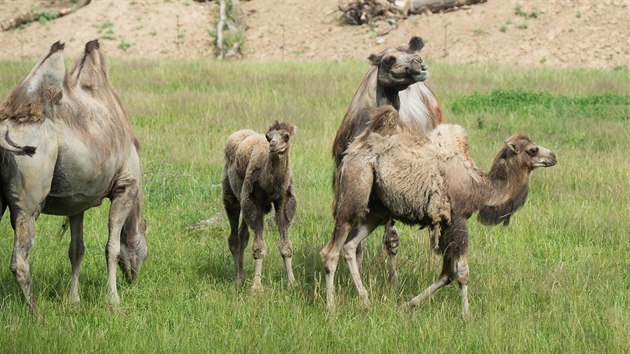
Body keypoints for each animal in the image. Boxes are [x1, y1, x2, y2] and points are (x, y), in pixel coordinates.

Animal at [0, 40, 147, 314]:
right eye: (145, 248)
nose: (134, 276)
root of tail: (6, 128)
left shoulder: (76, 201)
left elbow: (76, 249)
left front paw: (74, 300)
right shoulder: (125, 186)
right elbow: (111, 247)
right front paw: (114, 301)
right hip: (29, 197)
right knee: (20, 258)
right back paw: (36, 313)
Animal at [222, 120, 298, 292]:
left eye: (286, 136)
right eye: (268, 136)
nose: (273, 145)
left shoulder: (283, 200)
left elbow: (286, 247)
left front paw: (292, 283)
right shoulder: (254, 201)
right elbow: (259, 247)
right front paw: (256, 288)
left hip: (245, 202)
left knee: (243, 237)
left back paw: (242, 277)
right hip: (232, 196)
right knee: (234, 237)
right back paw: (238, 280)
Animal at [320, 105, 556, 316]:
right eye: (532, 150)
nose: (553, 156)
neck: (477, 187)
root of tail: (350, 152)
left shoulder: (446, 225)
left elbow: (447, 274)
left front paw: (408, 305)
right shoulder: (458, 219)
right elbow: (461, 272)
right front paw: (467, 315)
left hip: (377, 210)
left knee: (349, 246)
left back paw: (365, 301)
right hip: (354, 191)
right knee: (331, 251)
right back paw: (331, 307)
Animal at [334, 36, 446, 284]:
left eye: (413, 56)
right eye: (389, 60)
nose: (418, 63)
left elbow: (391, 238)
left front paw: (393, 281)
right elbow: (356, 238)